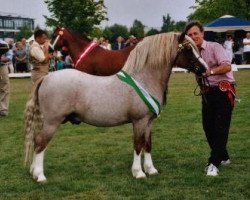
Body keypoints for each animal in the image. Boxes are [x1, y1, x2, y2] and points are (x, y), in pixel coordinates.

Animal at [23, 32, 207, 182]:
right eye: (188, 49)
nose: (204, 68)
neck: (143, 78)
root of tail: (47, 78)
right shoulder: (139, 121)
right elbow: (138, 145)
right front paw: (138, 173)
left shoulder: (149, 122)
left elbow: (148, 144)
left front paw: (151, 170)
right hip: (51, 122)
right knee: (40, 144)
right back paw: (39, 175)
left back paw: (33, 172)